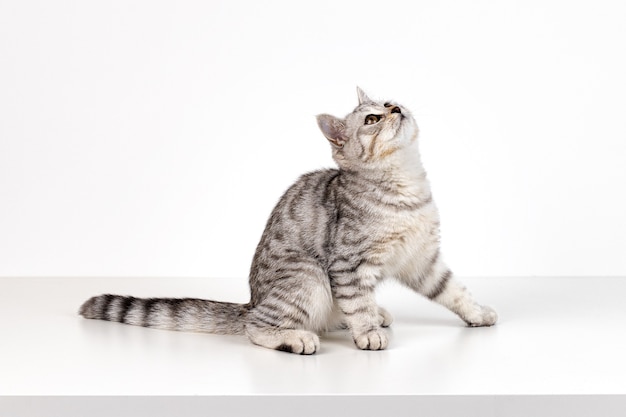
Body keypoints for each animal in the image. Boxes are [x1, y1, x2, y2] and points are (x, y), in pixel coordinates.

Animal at [79, 88, 498, 354]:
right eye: (372, 117)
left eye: (388, 101)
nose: (395, 108)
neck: (406, 183)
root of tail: (251, 301)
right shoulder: (347, 264)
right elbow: (358, 303)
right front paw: (368, 333)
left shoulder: (422, 258)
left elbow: (453, 290)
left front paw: (477, 313)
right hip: (308, 277)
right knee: (257, 326)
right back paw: (298, 337)